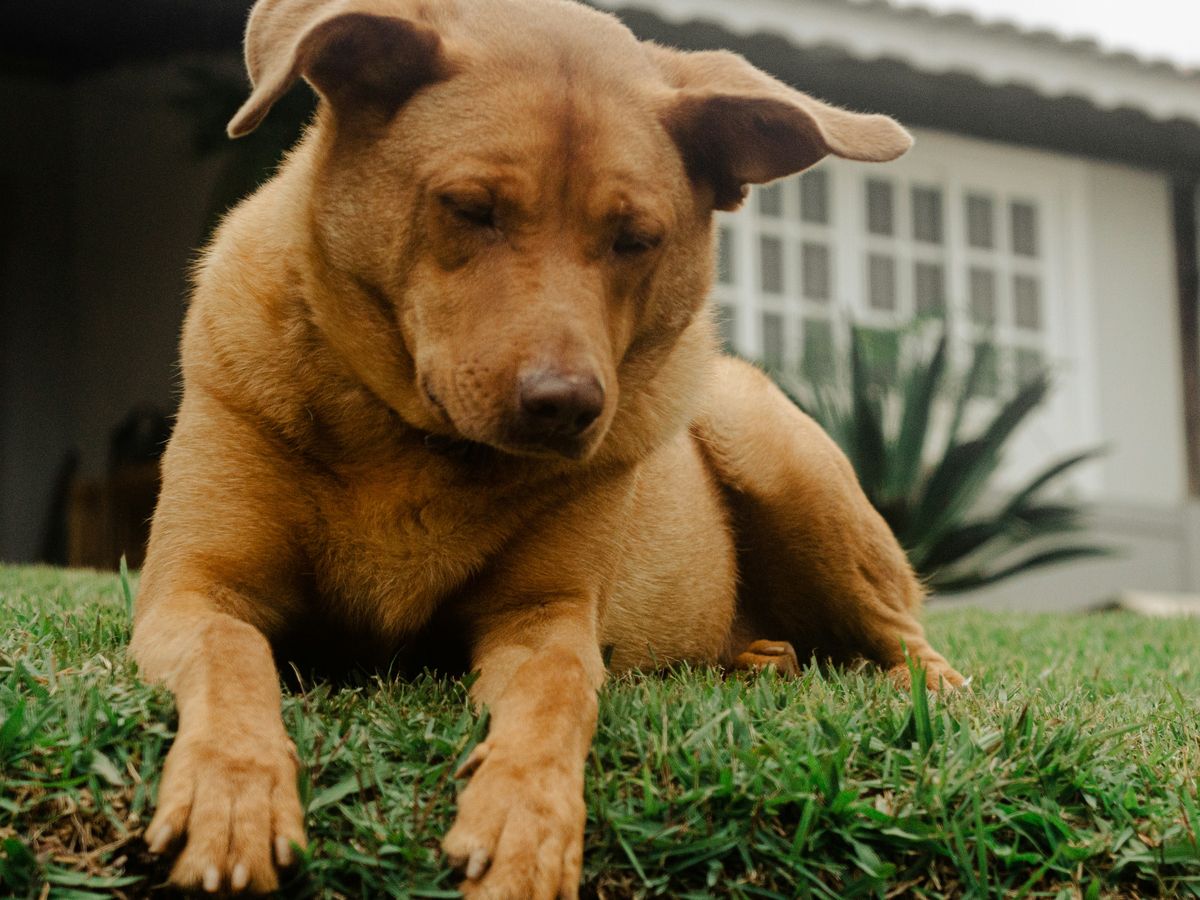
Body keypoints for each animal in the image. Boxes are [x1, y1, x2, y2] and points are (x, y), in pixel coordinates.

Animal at [131, 0, 960, 897]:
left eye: (636, 238)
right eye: (469, 207)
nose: (566, 408)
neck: (415, 446)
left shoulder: (543, 619)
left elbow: (561, 692)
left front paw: (525, 822)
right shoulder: (192, 591)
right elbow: (232, 650)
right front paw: (233, 790)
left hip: (770, 447)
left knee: (904, 633)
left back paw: (923, 686)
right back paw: (761, 659)